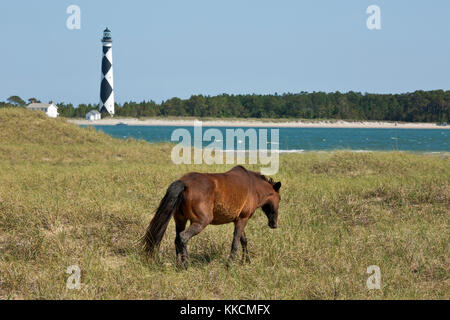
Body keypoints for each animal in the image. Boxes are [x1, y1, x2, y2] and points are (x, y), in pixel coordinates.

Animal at [142, 165, 282, 268]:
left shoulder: (238, 219)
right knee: (183, 238)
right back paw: (186, 264)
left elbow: (243, 240)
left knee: (177, 239)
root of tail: (185, 184)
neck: (253, 186)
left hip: (180, 220)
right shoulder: (243, 219)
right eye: (279, 199)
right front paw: (230, 264)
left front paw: (246, 261)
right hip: (200, 222)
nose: (274, 224)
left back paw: (179, 264)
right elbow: (236, 242)